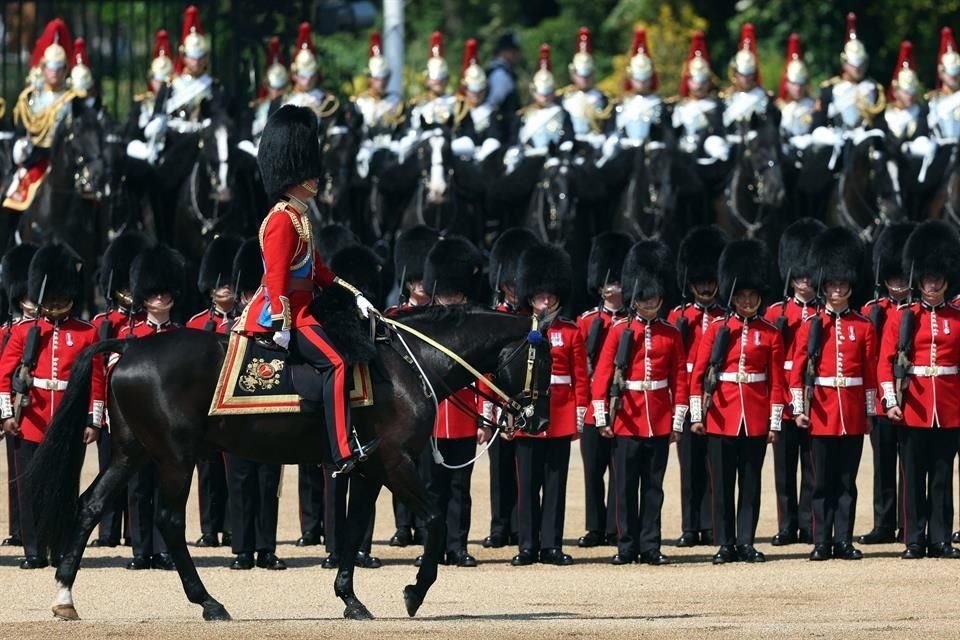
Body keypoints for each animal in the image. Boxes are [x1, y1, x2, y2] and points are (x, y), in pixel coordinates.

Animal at [30, 298, 552, 620]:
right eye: (544, 363)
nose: (539, 421)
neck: (410, 364)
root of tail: (130, 343)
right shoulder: (397, 461)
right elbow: (435, 518)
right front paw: (414, 593)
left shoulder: (369, 467)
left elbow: (352, 528)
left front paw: (350, 599)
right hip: (176, 456)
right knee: (168, 520)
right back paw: (208, 602)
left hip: (131, 451)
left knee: (90, 506)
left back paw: (65, 597)